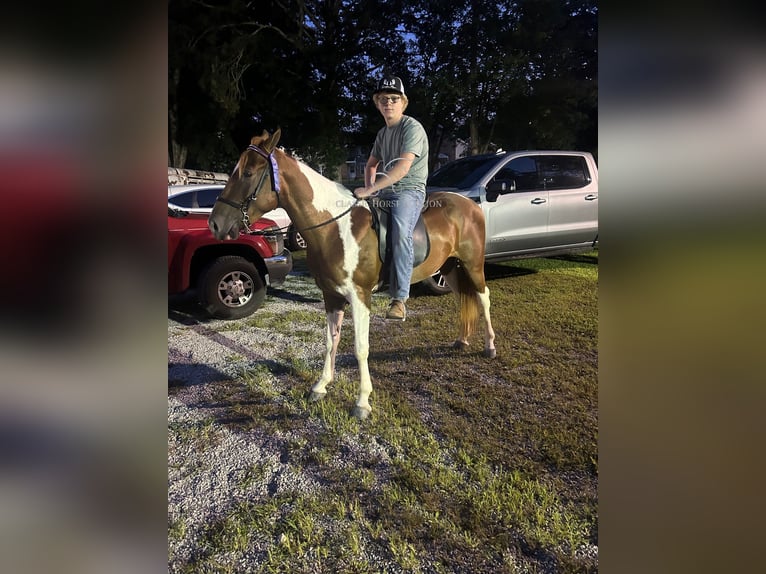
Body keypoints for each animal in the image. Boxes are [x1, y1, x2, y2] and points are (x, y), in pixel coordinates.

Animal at [210, 129, 498, 418]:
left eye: (247, 173)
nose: (215, 224)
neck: (334, 228)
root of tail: (470, 204)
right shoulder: (331, 295)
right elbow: (331, 341)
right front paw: (320, 387)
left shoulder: (360, 296)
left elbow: (361, 348)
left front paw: (362, 402)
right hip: (449, 268)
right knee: (463, 298)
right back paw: (462, 340)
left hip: (473, 266)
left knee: (483, 298)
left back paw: (490, 346)